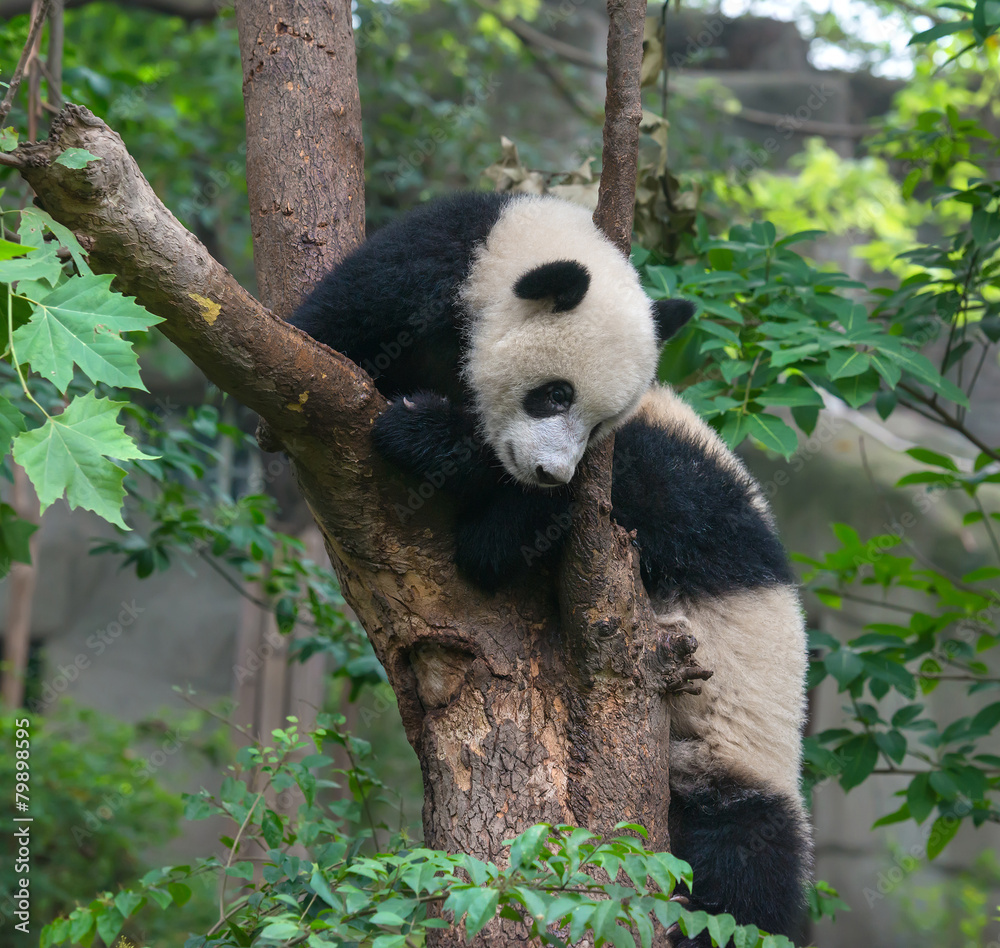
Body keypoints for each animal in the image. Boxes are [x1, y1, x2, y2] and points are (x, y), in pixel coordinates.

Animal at [290, 191, 810, 945]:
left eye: (596, 425)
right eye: (555, 395)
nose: (550, 471)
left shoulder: (650, 479)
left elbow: (539, 521)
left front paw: (431, 440)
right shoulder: (420, 270)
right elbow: (318, 338)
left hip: (732, 767)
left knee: (744, 881)